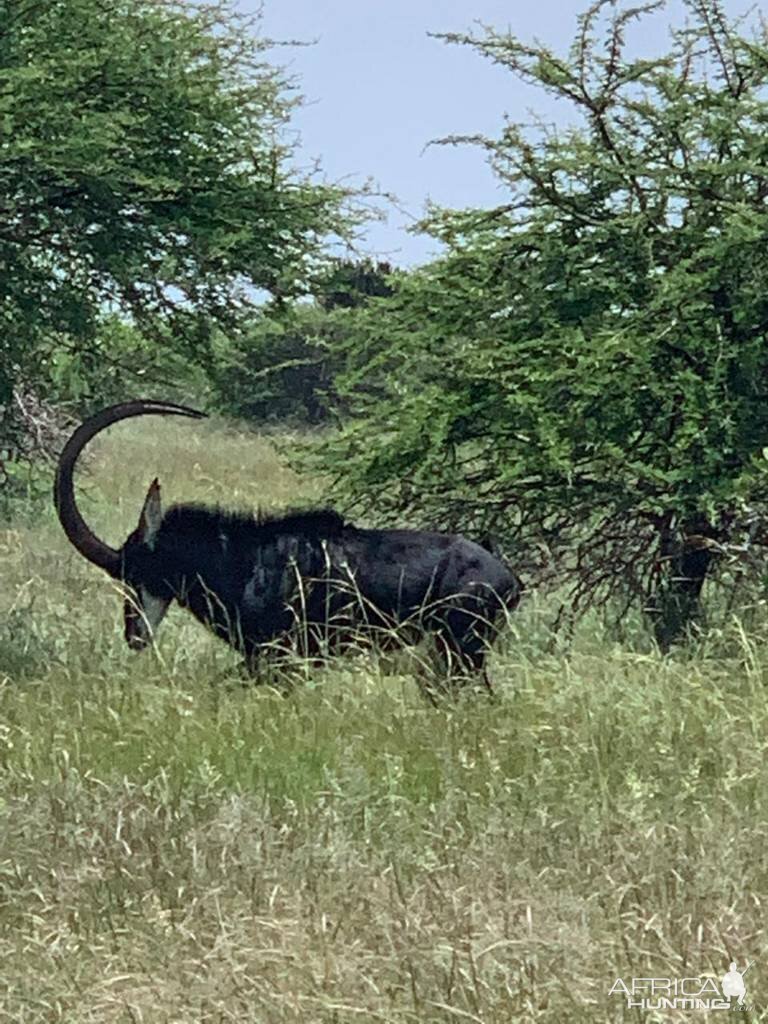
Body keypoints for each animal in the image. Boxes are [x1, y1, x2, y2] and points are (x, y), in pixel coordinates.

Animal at [54, 399, 524, 688]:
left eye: (135, 570)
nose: (134, 635)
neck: (238, 559)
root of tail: (508, 578)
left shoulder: (280, 659)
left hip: (460, 653)